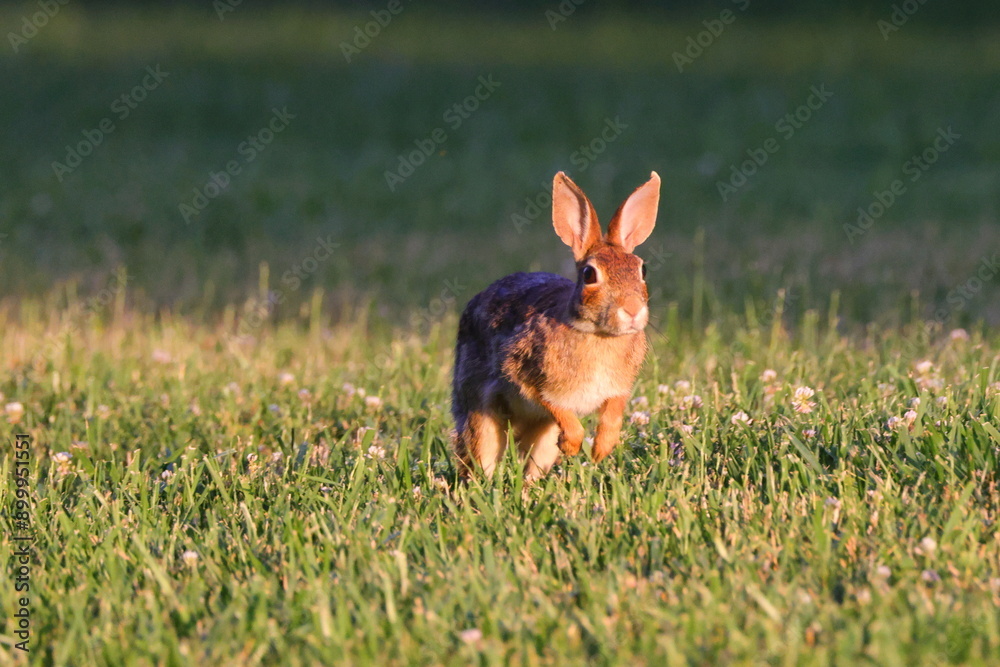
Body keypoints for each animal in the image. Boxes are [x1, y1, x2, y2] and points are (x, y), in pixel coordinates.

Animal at [452, 171, 660, 480]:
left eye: (641, 270)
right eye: (589, 274)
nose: (632, 310)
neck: (597, 334)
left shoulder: (618, 389)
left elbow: (613, 412)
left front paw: (601, 450)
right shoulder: (524, 372)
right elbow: (552, 404)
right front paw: (573, 445)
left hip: (542, 439)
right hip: (480, 417)